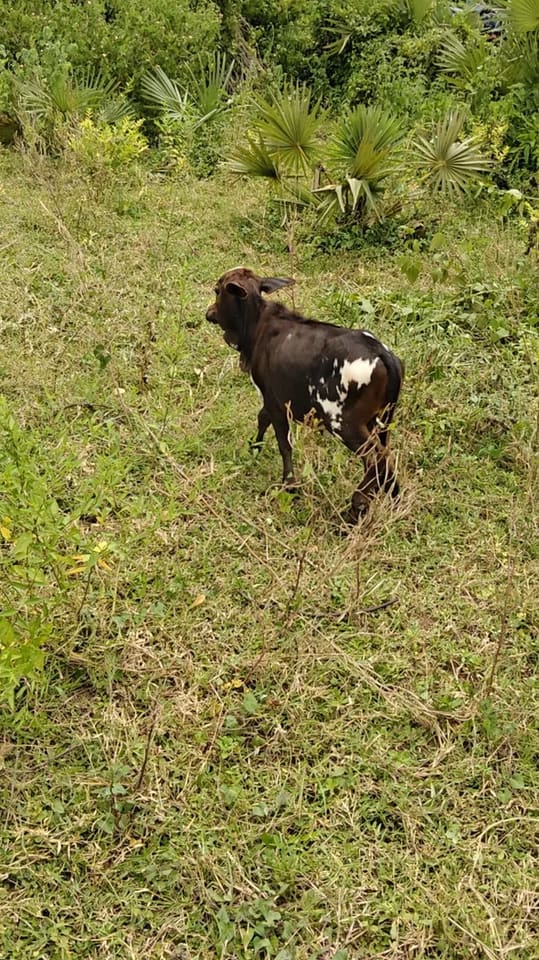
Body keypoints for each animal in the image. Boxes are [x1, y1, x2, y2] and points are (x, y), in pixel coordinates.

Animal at [206, 267, 404, 522]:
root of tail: (381, 353)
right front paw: (254, 448)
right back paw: (394, 496)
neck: (257, 327)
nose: (209, 313)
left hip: (343, 423)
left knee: (375, 459)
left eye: (217, 290)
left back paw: (356, 506)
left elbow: (283, 443)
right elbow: (262, 419)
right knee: (385, 457)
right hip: (382, 420)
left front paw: (288, 484)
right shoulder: (274, 398)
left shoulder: (275, 401)